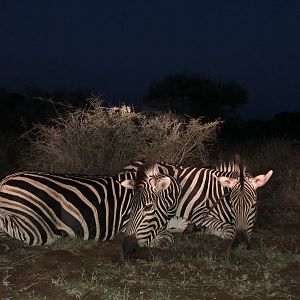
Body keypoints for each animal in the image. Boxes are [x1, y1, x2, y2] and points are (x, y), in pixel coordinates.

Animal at [0, 163, 180, 247]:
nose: (127, 245)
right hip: (37, 228)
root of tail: (6, 180)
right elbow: (167, 237)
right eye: (131, 208)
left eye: (148, 208)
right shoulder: (126, 225)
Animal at [123, 155, 274, 248]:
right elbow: (229, 230)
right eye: (232, 203)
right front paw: (204, 230)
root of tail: (133, 164)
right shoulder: (200, 215)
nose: (241, 242)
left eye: (253, 205)